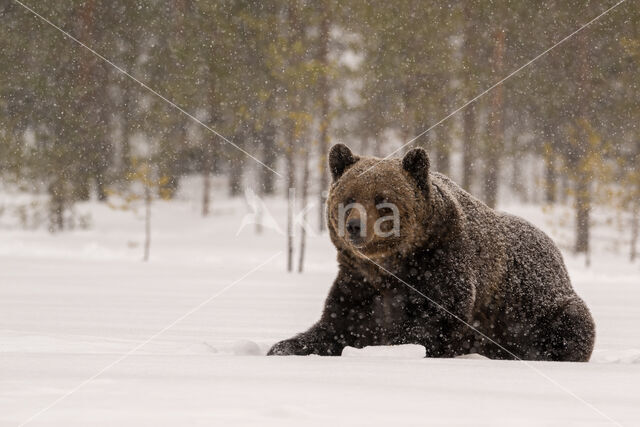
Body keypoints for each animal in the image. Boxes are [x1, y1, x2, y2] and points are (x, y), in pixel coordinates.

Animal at [268, 144, 596, 362]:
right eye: (348, 198)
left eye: (382, 200)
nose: (354, 227)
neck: (391, 268)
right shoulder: (358, 283)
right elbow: (335, 326)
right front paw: (283, 346)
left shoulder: (441, 269)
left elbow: (434, 326)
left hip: (538, 307)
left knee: (572, 324)